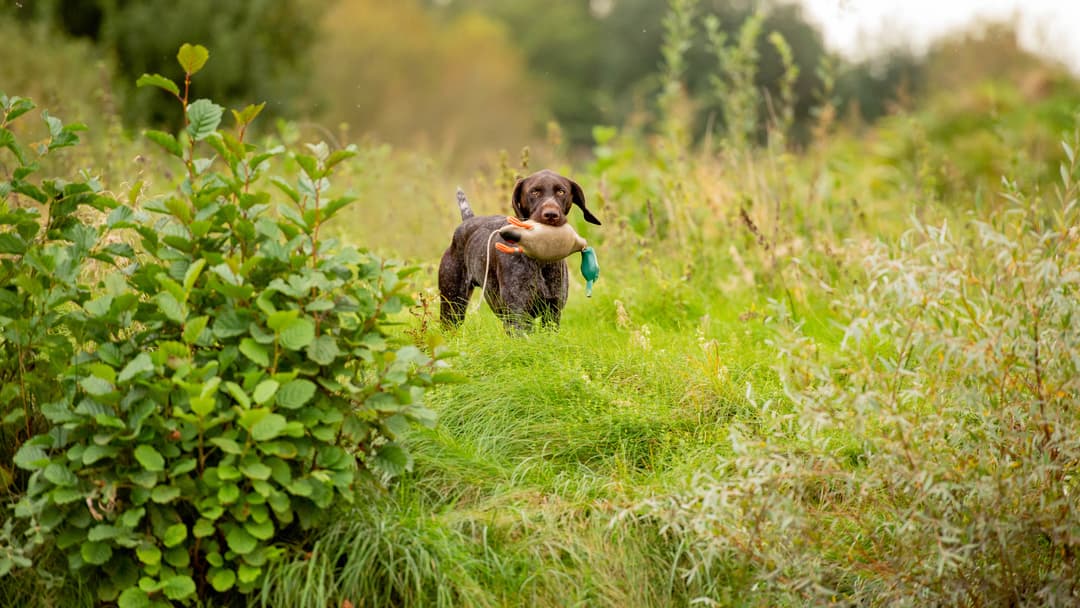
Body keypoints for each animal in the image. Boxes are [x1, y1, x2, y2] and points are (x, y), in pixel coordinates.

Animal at [442, 168, 604, 332]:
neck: (541, 262)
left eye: (561, 191)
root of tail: (468, 220)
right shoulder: (517, 315)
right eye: (534, 192)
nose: (551, 215)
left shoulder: (552, 313)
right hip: (452, 307)